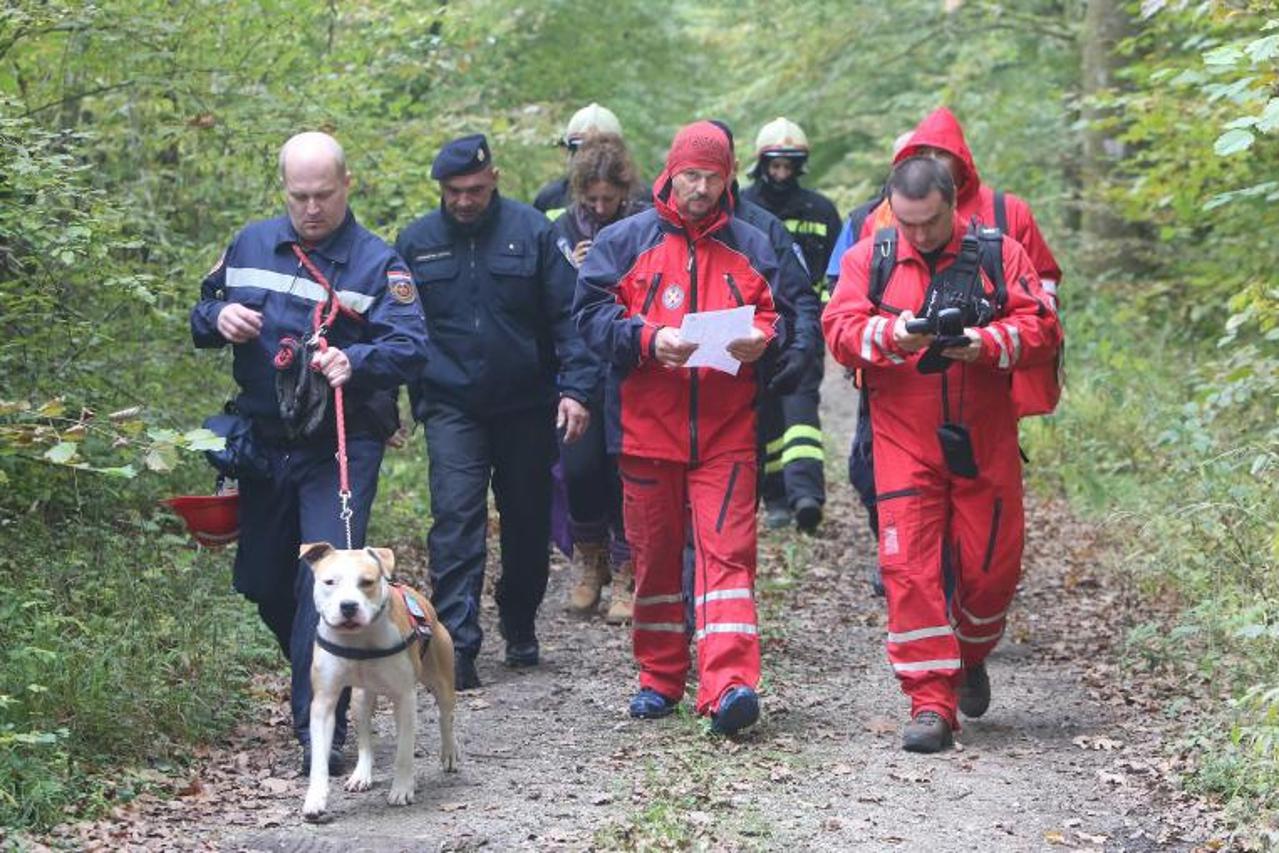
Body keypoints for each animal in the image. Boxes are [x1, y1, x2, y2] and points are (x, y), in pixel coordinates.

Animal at [299, 544, 460, 823]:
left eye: (367, 582)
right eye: (329, 582)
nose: (348, 606)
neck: (359, 639)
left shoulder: (405, 697)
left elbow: (404, 752)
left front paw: (402, 789)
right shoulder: (323, 703)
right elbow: (319, 759)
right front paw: (315, 800)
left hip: (440, 678)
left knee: (445, 716)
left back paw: (449, 753)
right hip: (360, 698)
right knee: (365, 739)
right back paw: (361, 775)